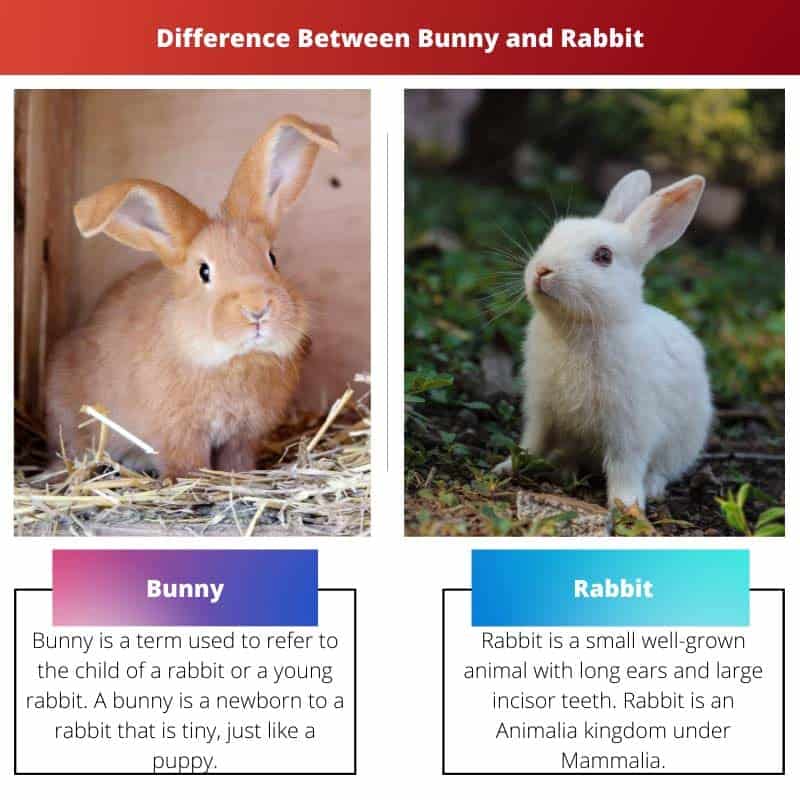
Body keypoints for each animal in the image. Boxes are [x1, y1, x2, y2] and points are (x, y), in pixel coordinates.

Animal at [45, 114, 338, 478]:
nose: (257, 309)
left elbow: (237, 460)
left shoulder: (243, 435)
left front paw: (238, 477)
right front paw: (195, 479)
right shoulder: (178, 432)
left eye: (272, 258)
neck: (234, 360)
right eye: (204, 272)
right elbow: (187, 464)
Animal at [494, 169, 713, 511]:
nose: (542, 270)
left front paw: (627, 505)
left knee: (662, 470)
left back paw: (652, 489)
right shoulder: (541, 410)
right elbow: (532, 442)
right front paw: (506, 467)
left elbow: (625, 466)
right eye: (553, 233)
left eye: (603, 256)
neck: (579, 327)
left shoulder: (630, 426)